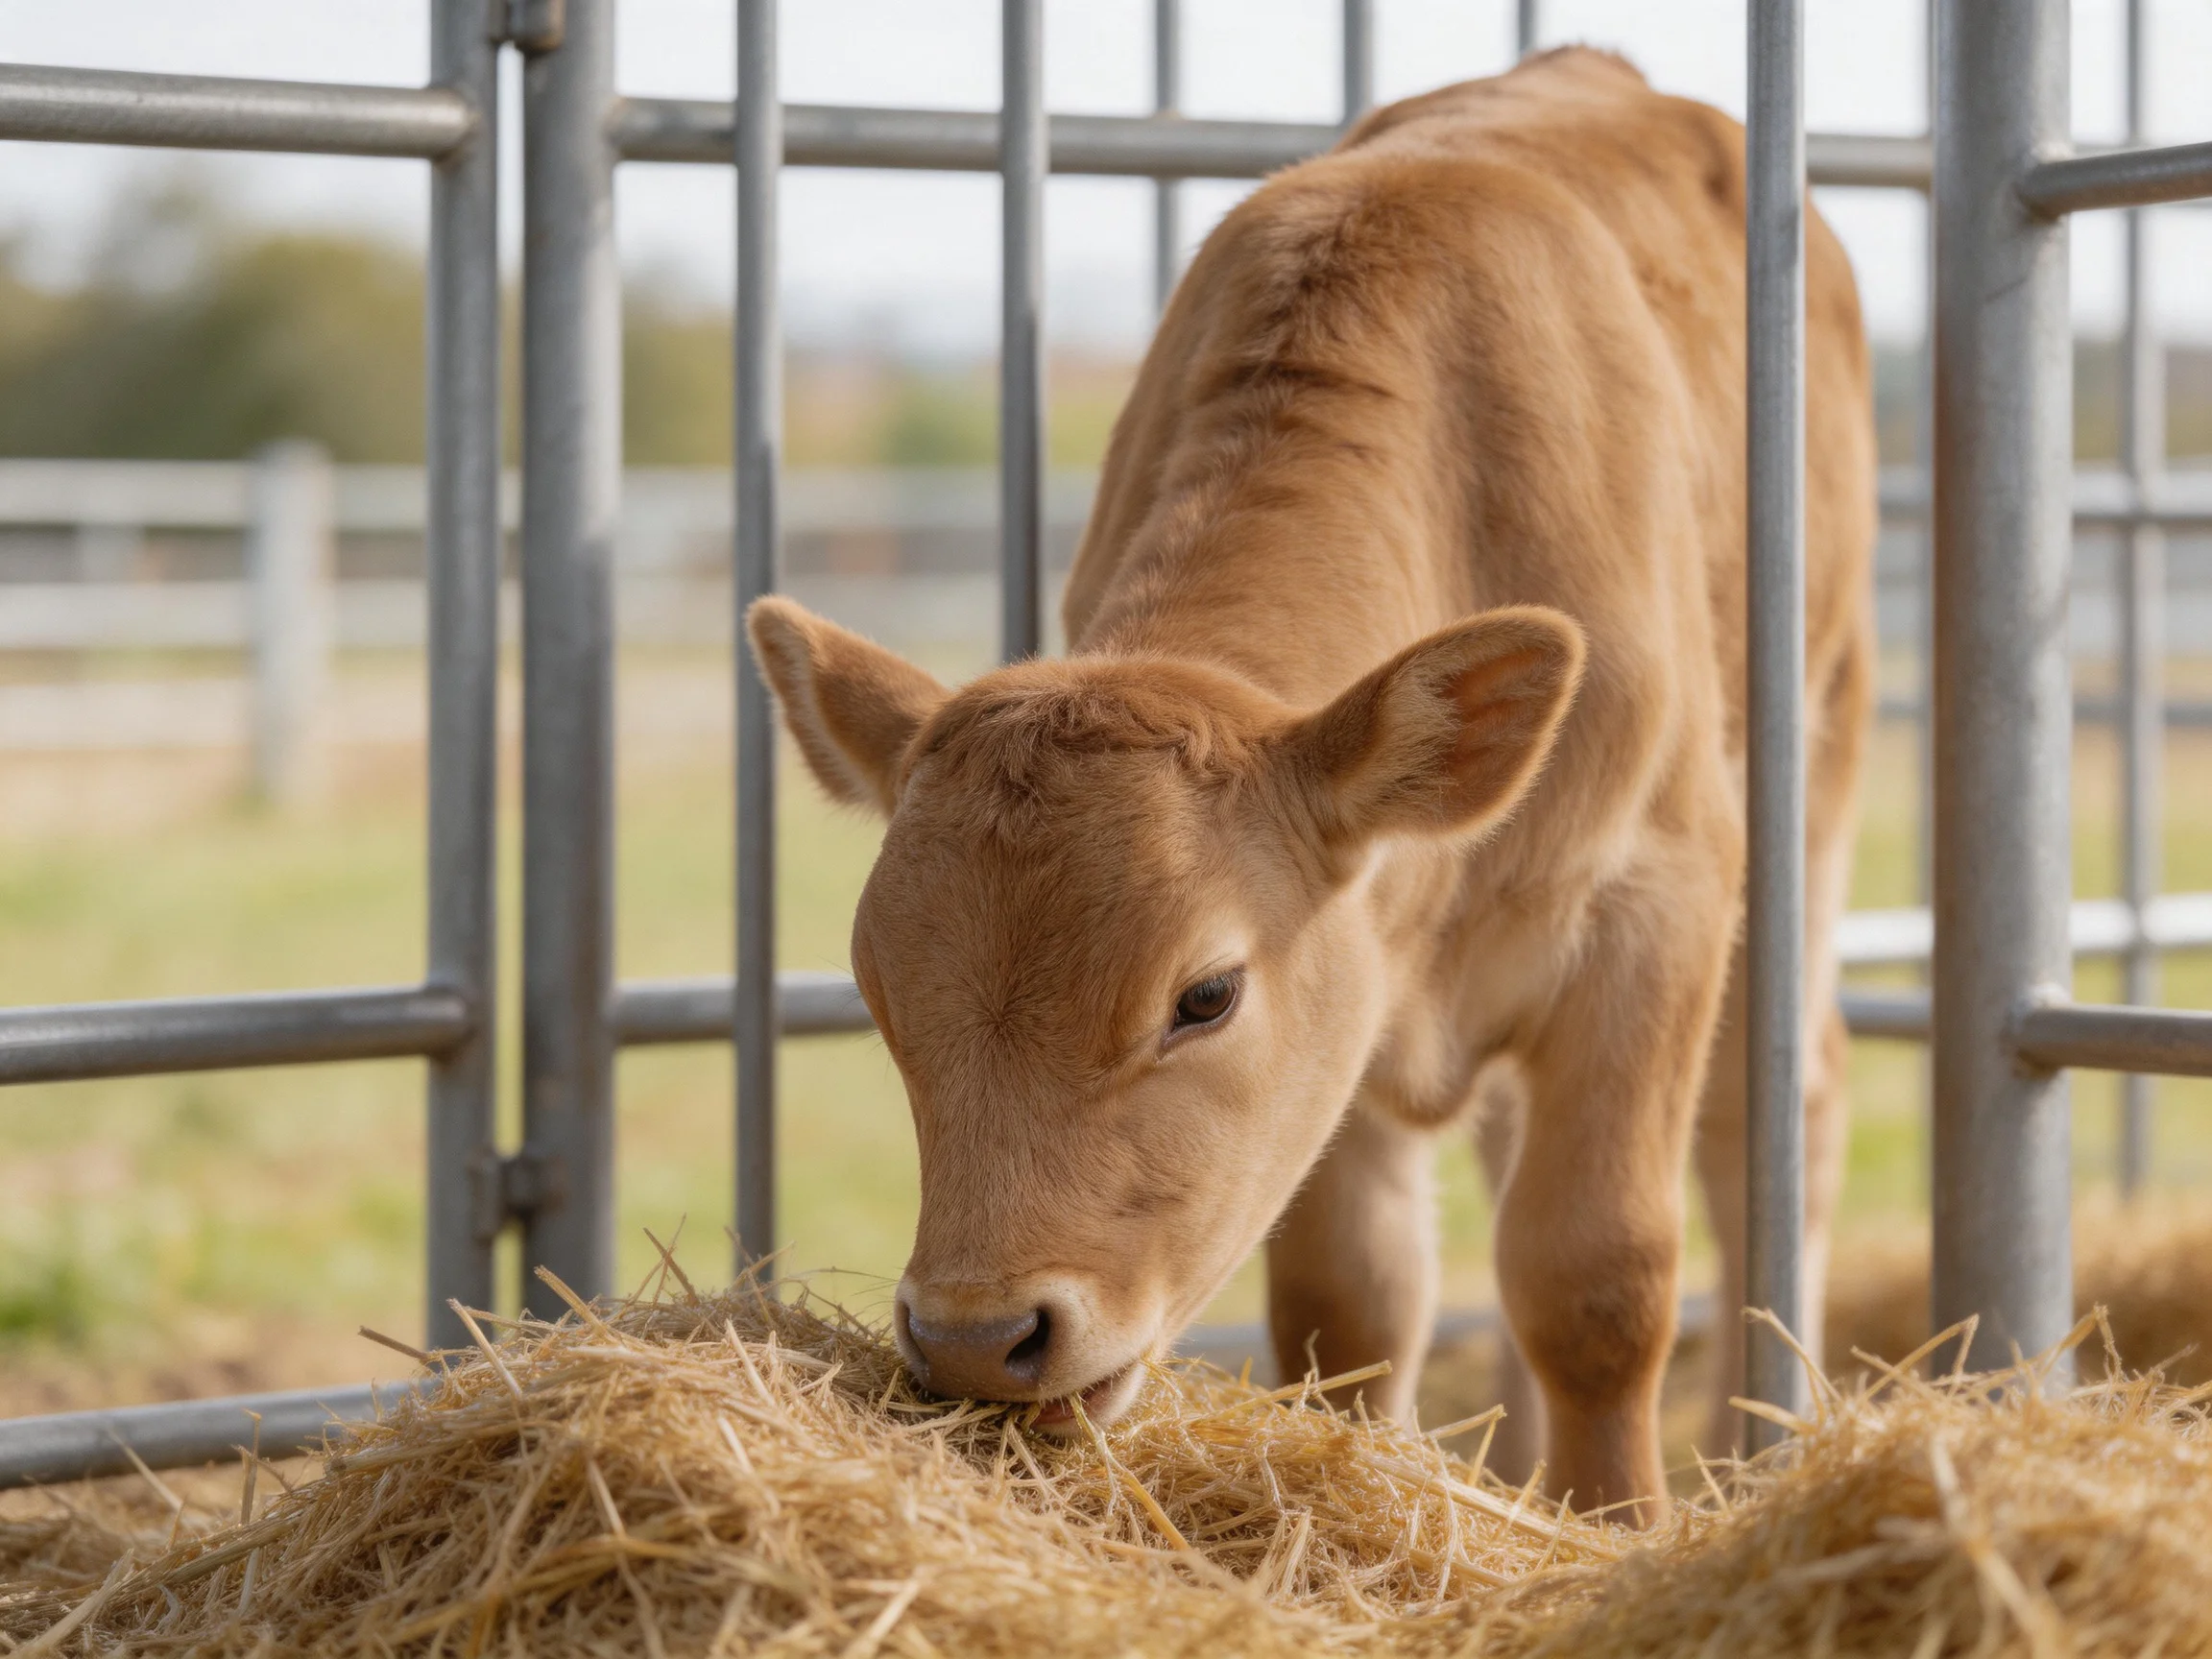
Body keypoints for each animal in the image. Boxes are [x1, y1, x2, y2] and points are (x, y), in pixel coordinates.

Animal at [746, 46, 1874, 1522]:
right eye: (878, 989)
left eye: (1205, 996)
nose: (980, 1337)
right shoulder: (1353, 990)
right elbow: (1354, 1303)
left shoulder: (1657, 905)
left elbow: (1597, 1278)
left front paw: (1617, 1524)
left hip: (1816, 768)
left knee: (1779, 1120)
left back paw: (1757, 1454)